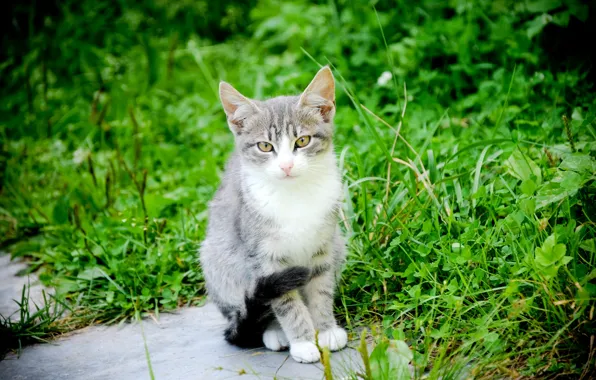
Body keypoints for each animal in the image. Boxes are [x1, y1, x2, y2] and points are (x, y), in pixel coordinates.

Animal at [200, 67, 350, 364]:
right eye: (265, 146)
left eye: (302, 141)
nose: (286, 165)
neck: (294, 196)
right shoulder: (266, 260)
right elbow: (286, 303)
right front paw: (303, 341)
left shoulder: (323, 249)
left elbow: (321, 291)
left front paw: (326, 329)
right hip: (219, 260)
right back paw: (274, 332)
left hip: (339, 243)